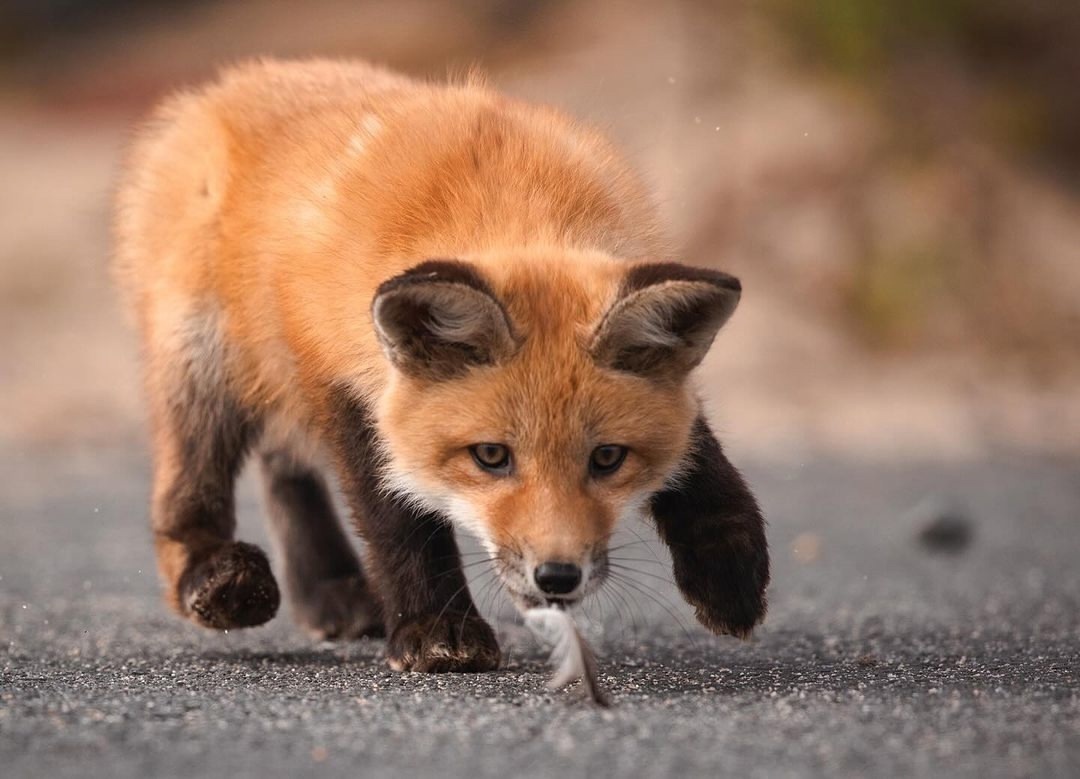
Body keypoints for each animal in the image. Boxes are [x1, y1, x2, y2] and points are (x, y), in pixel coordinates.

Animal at [113, 57, 768, 669]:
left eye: (607, 458)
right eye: (491, 457)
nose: (557, 577)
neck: (512, 203)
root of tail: (225, 85)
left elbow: (700, 452)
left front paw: (727, 570)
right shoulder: (352, 385)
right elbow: (399, 521)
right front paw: (436, 629)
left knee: (283, 466)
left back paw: (330, 591)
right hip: (202, 365)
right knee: (186, 497)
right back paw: (216, 578)